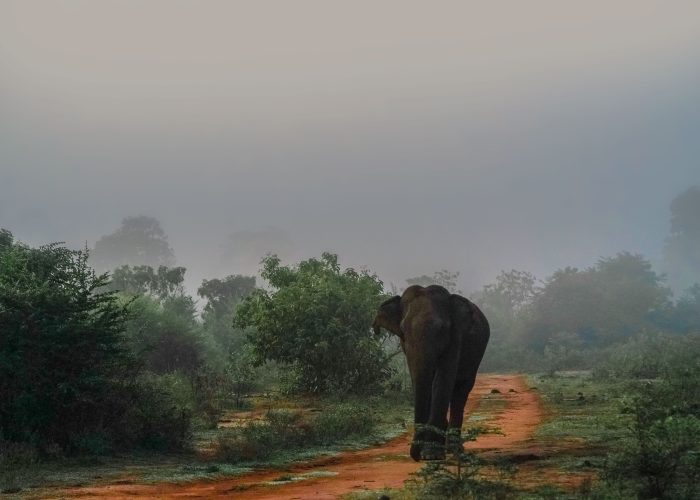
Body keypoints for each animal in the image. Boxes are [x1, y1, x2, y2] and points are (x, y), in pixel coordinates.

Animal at [372, 285, 490, 461]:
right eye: (403, 329)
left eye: (441, 329)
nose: (415, 455)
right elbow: (418, 378)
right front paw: (429, 450)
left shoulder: (455, 338)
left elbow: (442, 380)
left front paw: (431, 454)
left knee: (461, 389)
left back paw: (455, 450)